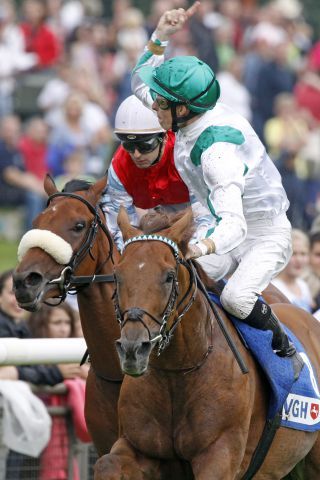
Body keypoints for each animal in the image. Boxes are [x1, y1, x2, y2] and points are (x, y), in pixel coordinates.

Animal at [95, 209, 320, 480]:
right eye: (117, 275)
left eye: (169, 276)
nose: (132, 349)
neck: (177, 372)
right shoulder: (138, 445)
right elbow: (106, 464)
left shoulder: (219, 454)